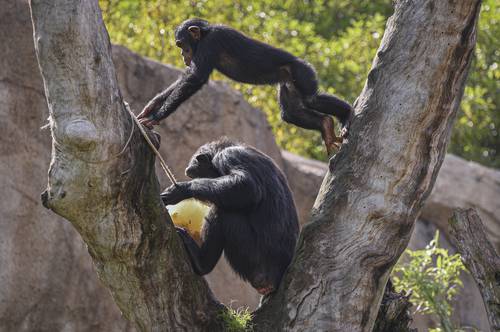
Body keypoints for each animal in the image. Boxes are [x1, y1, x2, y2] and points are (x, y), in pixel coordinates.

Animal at [138, 17, 352, 153]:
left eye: (181, 44)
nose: (183, 54)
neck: (205, 35)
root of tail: (304, 63)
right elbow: (186, 77)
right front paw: (153, 105)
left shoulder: (212, 43)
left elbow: (194, 77)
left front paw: (155, 117)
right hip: (288, 84)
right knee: (291, 113)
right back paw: (326, 126)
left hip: (302, 72)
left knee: (311, 99)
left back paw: (347, 115)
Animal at [162, 139, 298, 294]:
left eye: (194, 175)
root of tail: (276, 277)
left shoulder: (229, 156)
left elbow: (246, 185)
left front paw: (182, 189)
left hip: (255, 264)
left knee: (225, 213)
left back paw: (202, 262)